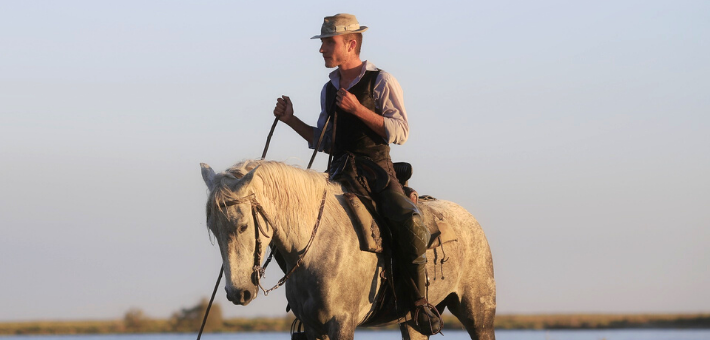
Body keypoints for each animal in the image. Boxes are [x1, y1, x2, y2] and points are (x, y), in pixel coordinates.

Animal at [200, 160, 498, 340]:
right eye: (212, 229)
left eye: (242, 226)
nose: (238, 293)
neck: (316, 244)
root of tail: (470, 220)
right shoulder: (313, 327)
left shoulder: (341, 324)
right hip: (412, 323)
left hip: (478, 315)